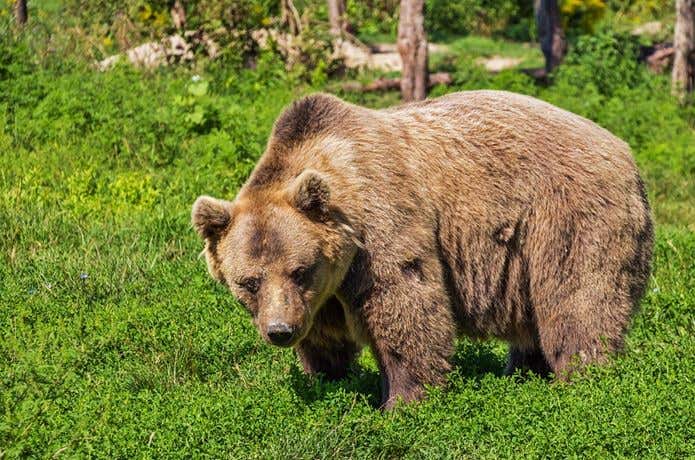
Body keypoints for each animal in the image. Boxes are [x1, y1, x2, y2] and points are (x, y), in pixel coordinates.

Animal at [190, 90, 652, 410]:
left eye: (299, 269)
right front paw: (327, 378)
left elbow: (405, 305)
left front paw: (402, 400)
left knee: (577, 300)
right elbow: (324, 335)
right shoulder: (323, 293)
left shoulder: (381, 226)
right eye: (248, 282)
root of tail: (625, 151)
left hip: (567, 215)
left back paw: (582, 378)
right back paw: (522, 371)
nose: (280, 331)